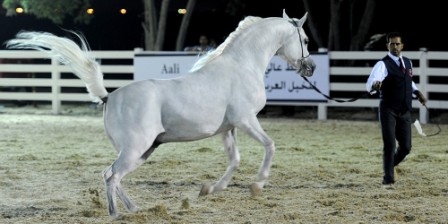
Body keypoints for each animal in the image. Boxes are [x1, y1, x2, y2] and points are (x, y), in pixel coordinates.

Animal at [7, 9, 316, 218]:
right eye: (304, 38)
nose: (311, 67)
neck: (241, 65)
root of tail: (109, 96)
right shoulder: (246, 120)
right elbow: (270, 146)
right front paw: (257, 185)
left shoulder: (228, 128)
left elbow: (234, 160)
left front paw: (211, 189)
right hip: (136, 148)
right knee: (111, 176)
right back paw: (116, 214)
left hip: (143, 150)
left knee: (112, 174)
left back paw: (134, 208)